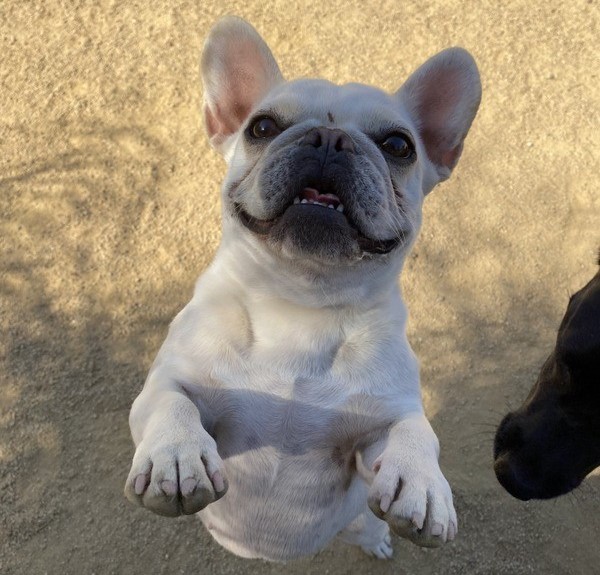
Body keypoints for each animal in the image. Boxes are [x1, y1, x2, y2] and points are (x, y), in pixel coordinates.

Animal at [123, 15, 482, 560]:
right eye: (262, 127)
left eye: (399, 145)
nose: (329, 138)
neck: (300, 303)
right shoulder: (169, 381)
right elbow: (170, 401)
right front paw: (177, 456)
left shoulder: (383, 420)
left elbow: (416, 431)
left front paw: (423, 485)